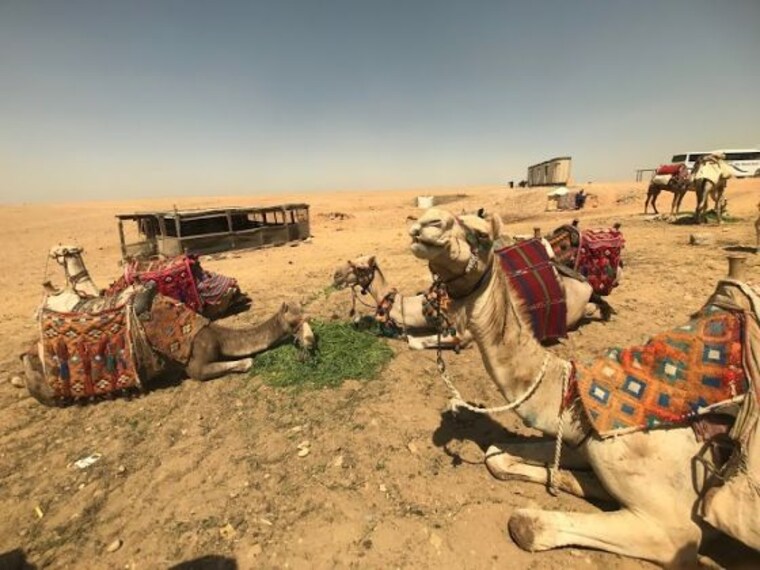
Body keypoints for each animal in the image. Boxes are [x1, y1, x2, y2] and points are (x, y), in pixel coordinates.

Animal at [23, 283, 314, 406]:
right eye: (294, 321)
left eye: (308, 317)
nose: (311, 341)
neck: (216, 335)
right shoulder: (196, 362)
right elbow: (243, 362)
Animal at [408, 207, 738, 566]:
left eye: (481, 234)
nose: (425, 221)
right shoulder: (581, 442)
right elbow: (496, 455)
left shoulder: (674, 529)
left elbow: (526, 524)